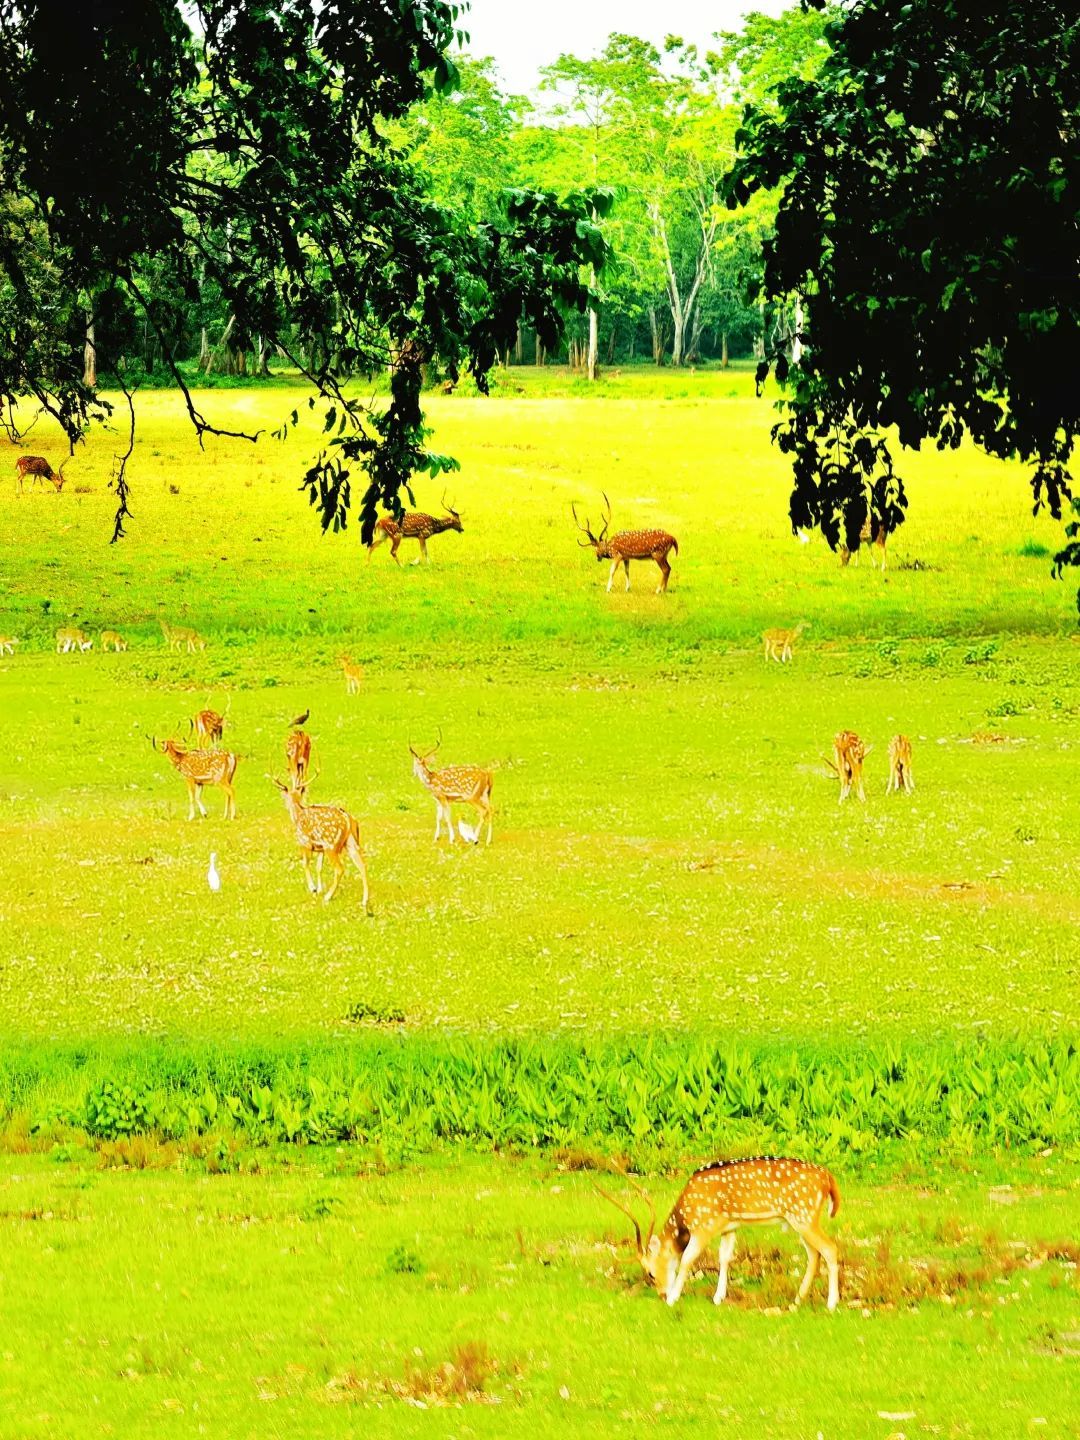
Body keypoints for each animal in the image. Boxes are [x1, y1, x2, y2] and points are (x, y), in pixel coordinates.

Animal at [270, 771, 371, 904]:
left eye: (284, 797)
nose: (285, 805)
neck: (297, 816)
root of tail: (348, 819)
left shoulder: (304, 842)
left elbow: (305, 864)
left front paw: (313, 888)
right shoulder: (320, 848)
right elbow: (319, 867)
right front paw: (319, 889)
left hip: (331, 845)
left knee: (340, 868)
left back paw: (328, 897)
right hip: (351, 842)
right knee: (362, 865)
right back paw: (364, 900)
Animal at [601, 1157, 846, 1319]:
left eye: (651, 1273)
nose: (661, 1293)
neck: (686, 1216)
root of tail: (828, 1178)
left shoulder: (704, 1226)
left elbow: (687, 1259)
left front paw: (673, 1298)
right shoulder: (729, 1226)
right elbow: (725, 1257)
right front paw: (718, 1297)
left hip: (804, 1215)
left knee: (830, 1248)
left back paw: (831, 1303)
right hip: (800, 1219)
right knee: (814, 1254)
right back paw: (797, 1300)